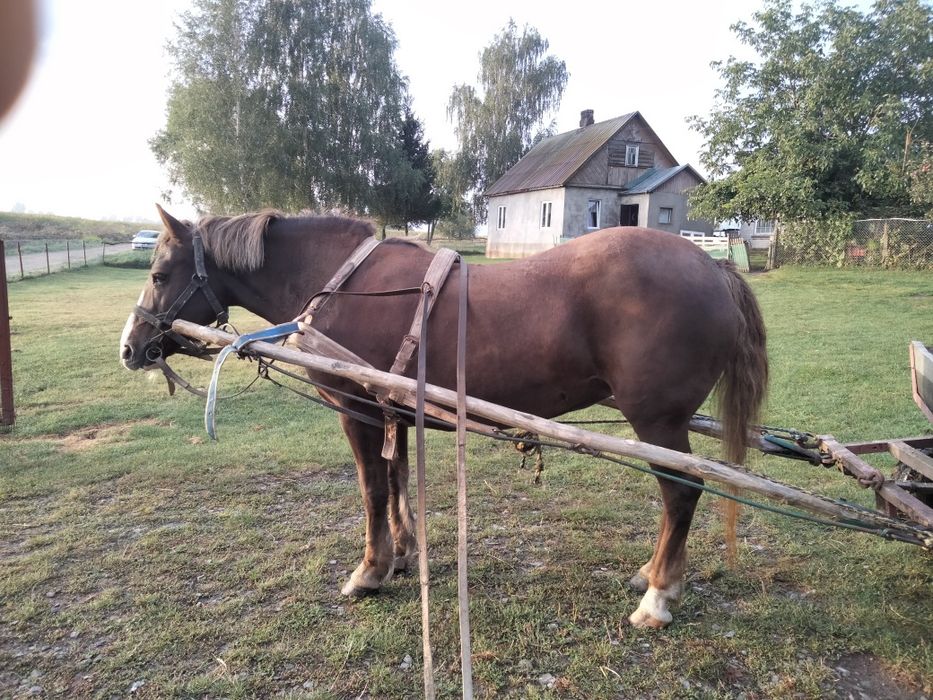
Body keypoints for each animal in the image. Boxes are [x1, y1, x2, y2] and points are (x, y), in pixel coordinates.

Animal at [122, 208, 764, 628]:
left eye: (158, 275)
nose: (130, 348)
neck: (340, 284)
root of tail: (714, 269)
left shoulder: (358, 410)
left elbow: (372, 490)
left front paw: (370, 571)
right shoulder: (392, 409)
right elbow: (398, 481)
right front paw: (403, 555)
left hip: (658, 422)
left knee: (682, 494)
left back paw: (658, 597)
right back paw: (652, 574)